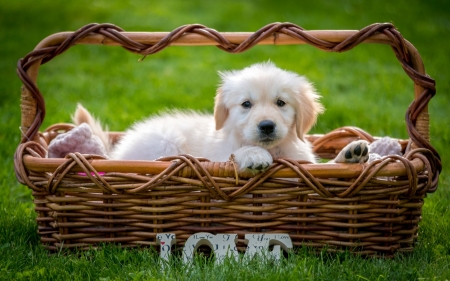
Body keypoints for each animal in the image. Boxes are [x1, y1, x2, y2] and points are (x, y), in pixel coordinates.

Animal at [74, 61, 370, 172]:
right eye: (246, 104)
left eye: (281, 103)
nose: (266, 126)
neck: (275, 150)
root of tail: (116, 154)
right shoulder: (219, 153)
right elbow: (236, 153)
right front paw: (254, 155)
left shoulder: (302, 160)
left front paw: (351, 153)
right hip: (165, 141)